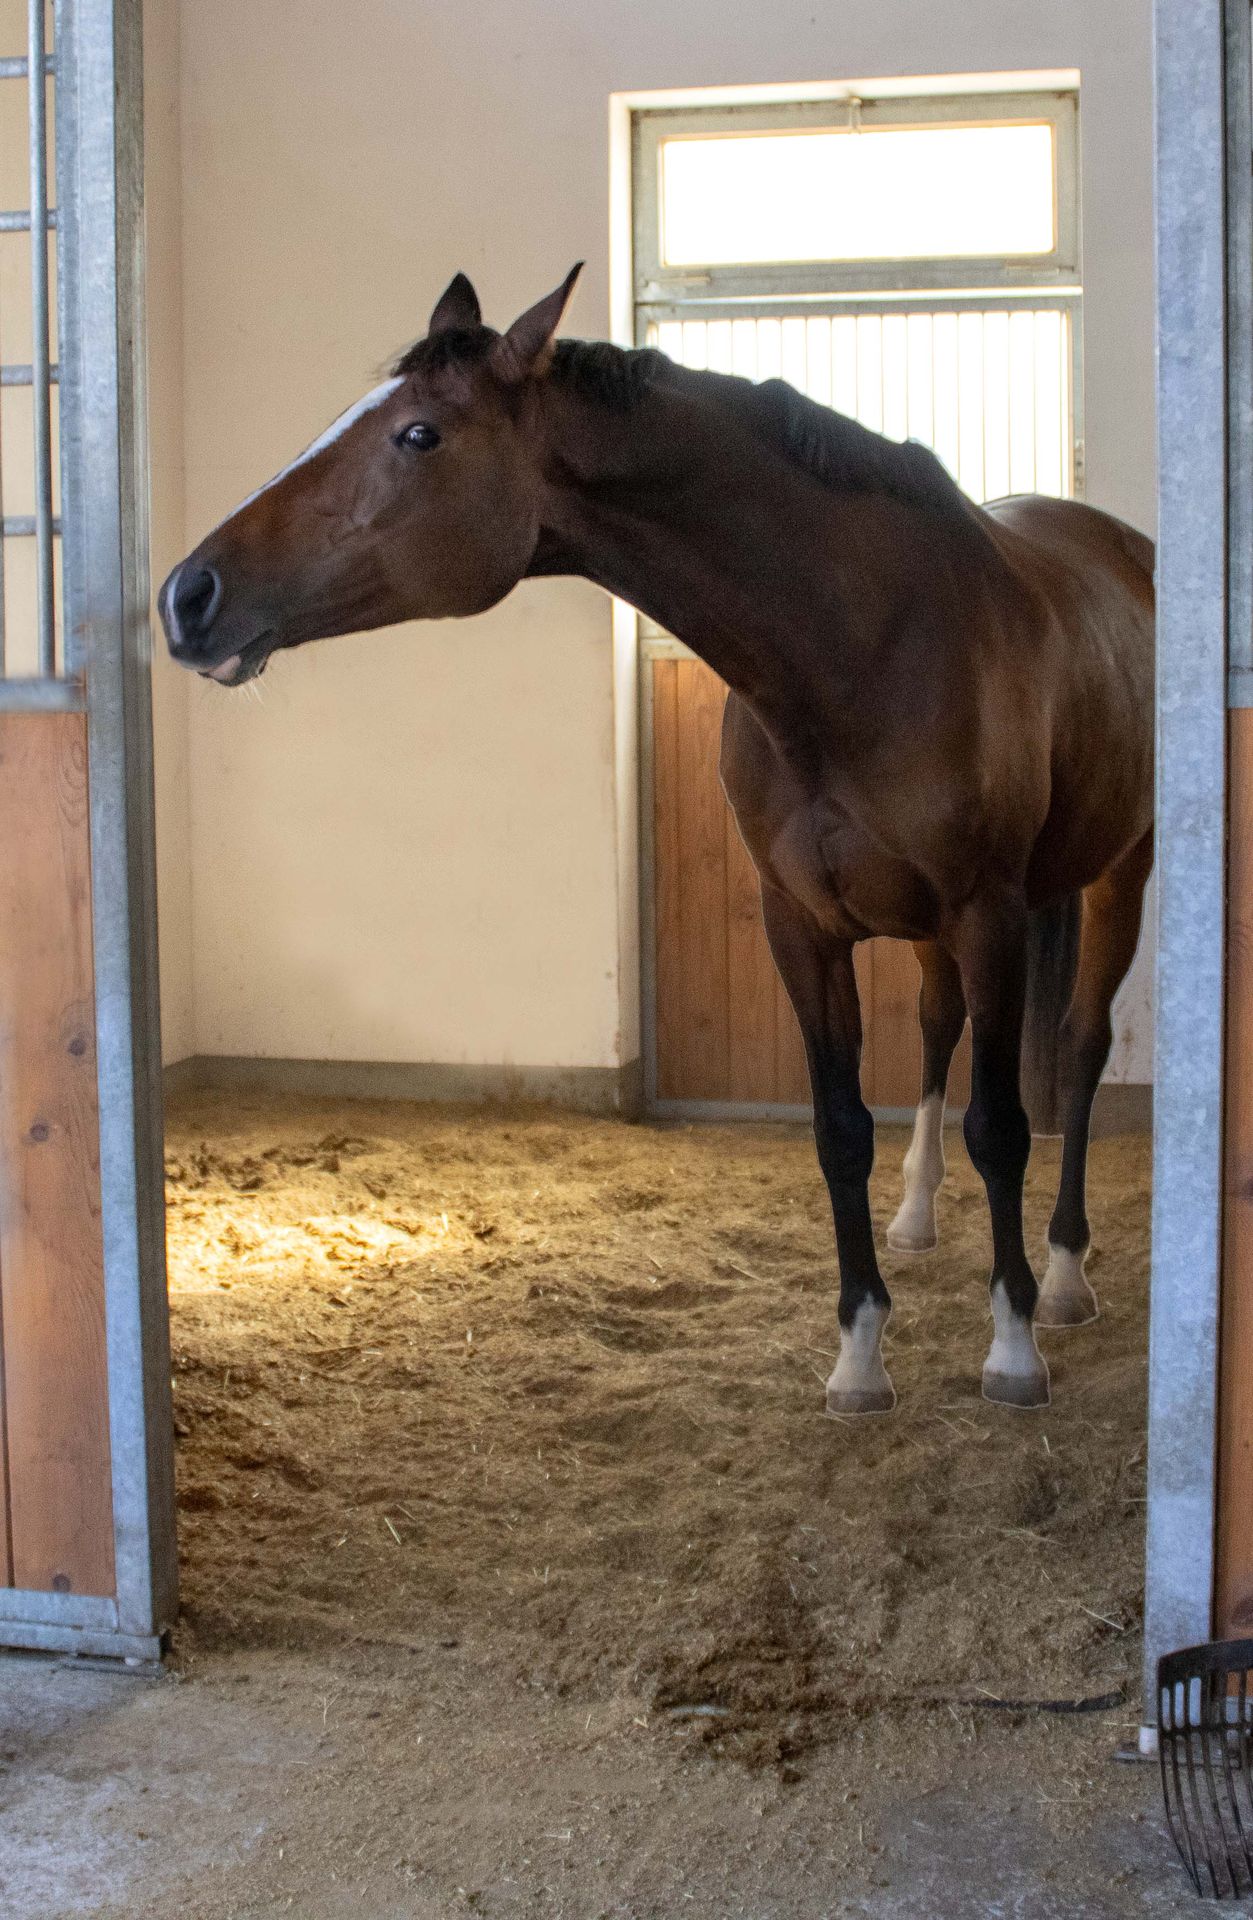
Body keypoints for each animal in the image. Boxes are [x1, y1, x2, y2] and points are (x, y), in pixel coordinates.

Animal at [159, 266, 1155, 1417]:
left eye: (417, 434)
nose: (187, 594)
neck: (862, 646)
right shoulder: (802, 927)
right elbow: (838, 1133)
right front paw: (859, 1355)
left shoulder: (985, 914)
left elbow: (1001, 1127)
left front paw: (1011, 1345)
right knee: (939, 1027)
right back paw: (916, 1217)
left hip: (1116, 874)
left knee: (1077, 1051)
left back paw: (1066, 1275)